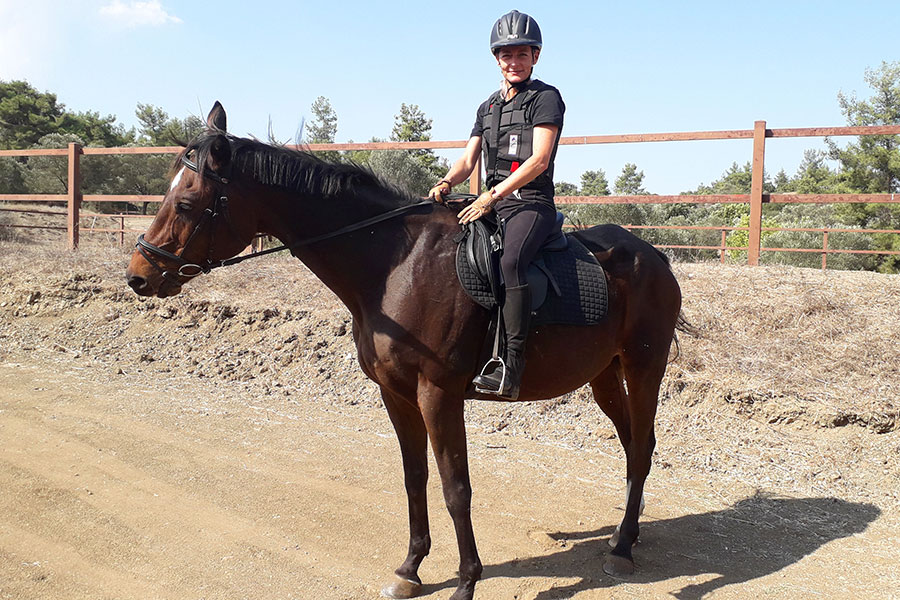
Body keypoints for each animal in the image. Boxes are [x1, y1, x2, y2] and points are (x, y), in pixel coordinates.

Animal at [125, 102, 685, 600]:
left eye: (186, 205)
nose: (138, 276)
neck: (394, 267)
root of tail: (654, 256)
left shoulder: (439, 395)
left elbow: (456, 487)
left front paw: (465, 582)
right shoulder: (395, 393)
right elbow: (415, 478)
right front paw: (411, 569)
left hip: (644, 368)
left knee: (641, 446)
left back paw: (622, 551)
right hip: (604, 374)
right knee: (632, 444)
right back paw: (624, 535)